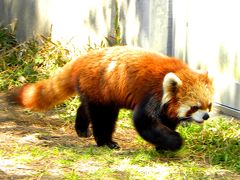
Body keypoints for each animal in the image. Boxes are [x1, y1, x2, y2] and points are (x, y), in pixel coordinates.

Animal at [7, 46, 214, 150]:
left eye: (209, 105)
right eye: (195, 107)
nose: (206, 116)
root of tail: (81, 60)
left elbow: (166, 121)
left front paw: (163, 146)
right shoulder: (153, 94)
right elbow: (144, 122)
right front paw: (175, 142)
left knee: (86, 107)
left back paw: (81, 128)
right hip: (102, 87)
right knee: (102, 117)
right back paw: (105, 142)